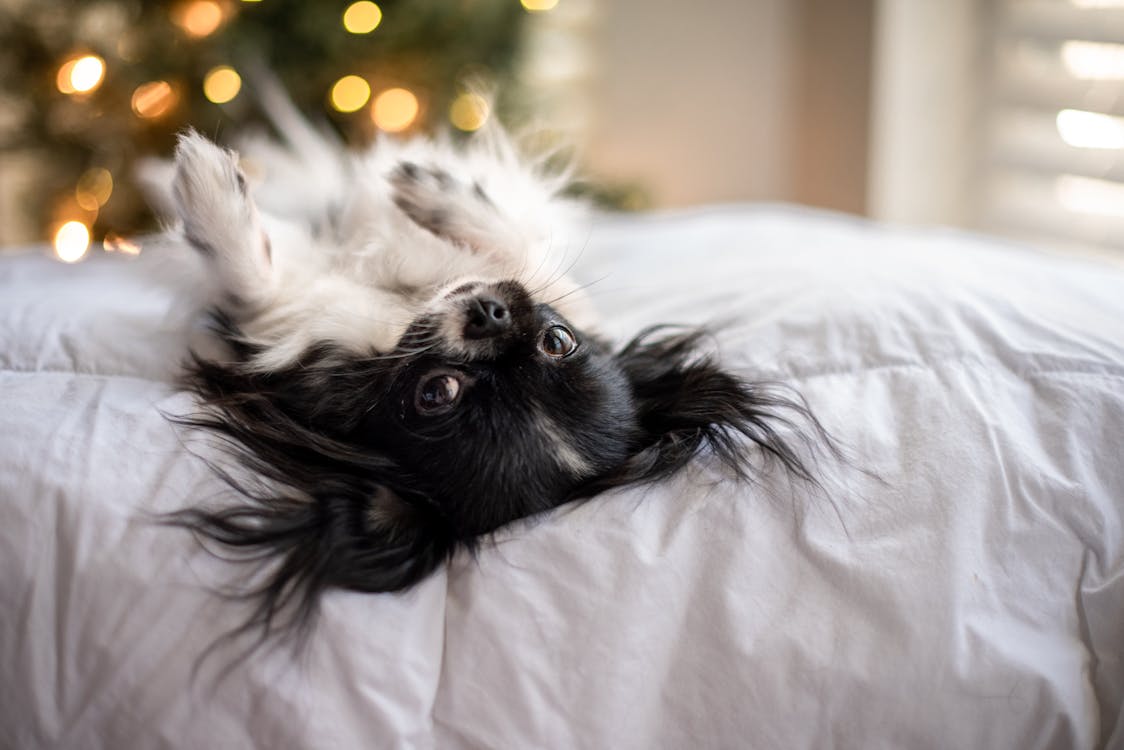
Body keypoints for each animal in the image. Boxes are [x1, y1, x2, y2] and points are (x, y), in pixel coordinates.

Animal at [156, 96, 827, 643]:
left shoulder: (285, 316)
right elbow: (524, 252)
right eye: (559, 341)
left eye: (436, 393)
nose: (490, 314)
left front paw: (207, 186)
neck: (400, 317)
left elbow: (252, 277)